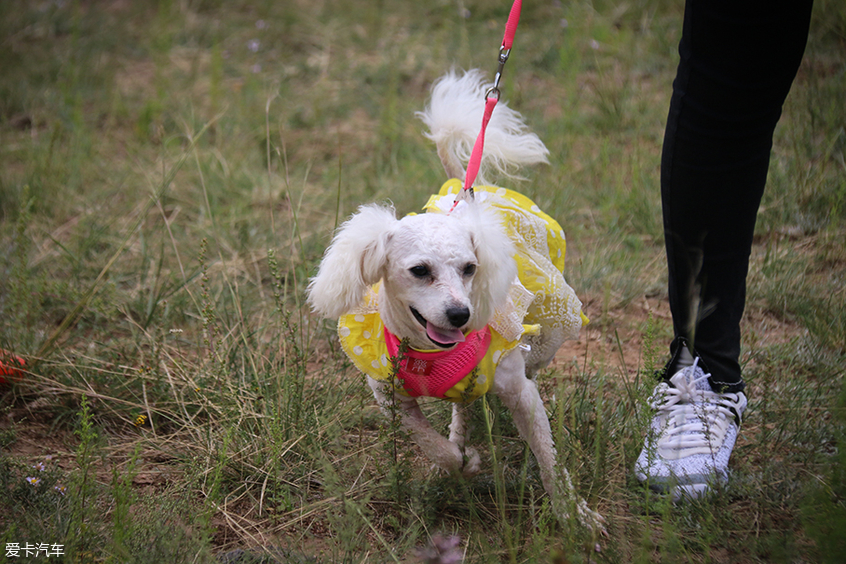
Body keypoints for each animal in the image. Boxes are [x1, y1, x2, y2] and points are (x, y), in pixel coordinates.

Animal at [312, 69, 604, 528]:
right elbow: (433, 446)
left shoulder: (520, 393)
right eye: (419, 271)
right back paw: (460, 436)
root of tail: (467, 191)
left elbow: (548, 456)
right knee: (463, 407)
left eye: (470, 269)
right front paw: (463, 463)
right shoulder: (390, 398)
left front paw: (574, 513)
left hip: (543, 339)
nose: (460, 314)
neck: (431, 353)